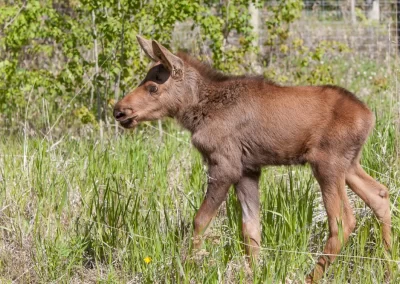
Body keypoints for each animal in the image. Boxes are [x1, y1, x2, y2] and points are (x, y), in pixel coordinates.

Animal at [114, 36, 392, 282]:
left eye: (153, 87)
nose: (119, 110)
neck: (195, 113)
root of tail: (369, 116)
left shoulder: (225, 164)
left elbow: (200, 220)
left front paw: (188, 269)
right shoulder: (248, 169)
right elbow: (251, 230)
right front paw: (256, 273)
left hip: (327, 164)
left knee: (343, 221)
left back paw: (310, 277)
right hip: (350, 164)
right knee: (380, 194)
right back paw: (388, 265)